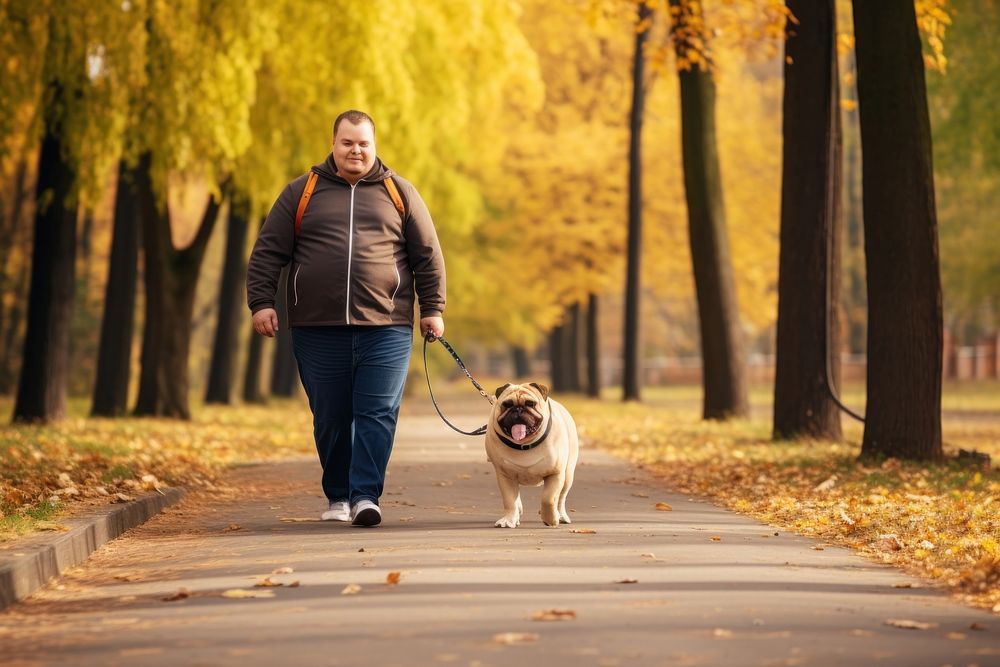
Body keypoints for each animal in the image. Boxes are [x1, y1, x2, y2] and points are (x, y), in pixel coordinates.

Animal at [484, 384, 580, 528]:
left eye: (530, 403)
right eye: (507, 404)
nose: (518, 409)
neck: (524, 445)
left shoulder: (555, 473)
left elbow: (548, 498)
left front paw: (550, 519)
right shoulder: (506, 476)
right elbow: (509, 500)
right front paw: (509, 519)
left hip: (568, 475)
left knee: (561, 498)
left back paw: (561, 516)